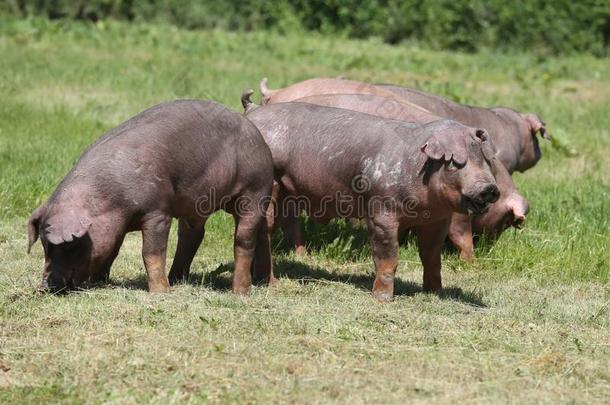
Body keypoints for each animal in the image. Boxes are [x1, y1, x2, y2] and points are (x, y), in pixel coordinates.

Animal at [26, 99, 274, 292]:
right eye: (45, 247)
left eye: (69, 246)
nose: (46, 286)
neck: (110, 201)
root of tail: (255, 132)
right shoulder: (117, 226)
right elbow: (112, 250)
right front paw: (100, 282)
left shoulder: (158, 212)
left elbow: (151, 252)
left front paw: (160, 293)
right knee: (199, 235)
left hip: (256, 188)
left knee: (244, 237)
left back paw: (239, 292)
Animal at [240, 98, 496, 300]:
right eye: (455, 163)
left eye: (484, 160)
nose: (490, 187)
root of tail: (253, 112)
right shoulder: (381, 210)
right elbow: (388, 257)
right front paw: (383, 299)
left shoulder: (437, 220)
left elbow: (432, 256)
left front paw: (435, 293)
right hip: (270, 185)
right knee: (265, 229)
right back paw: (271, 283)